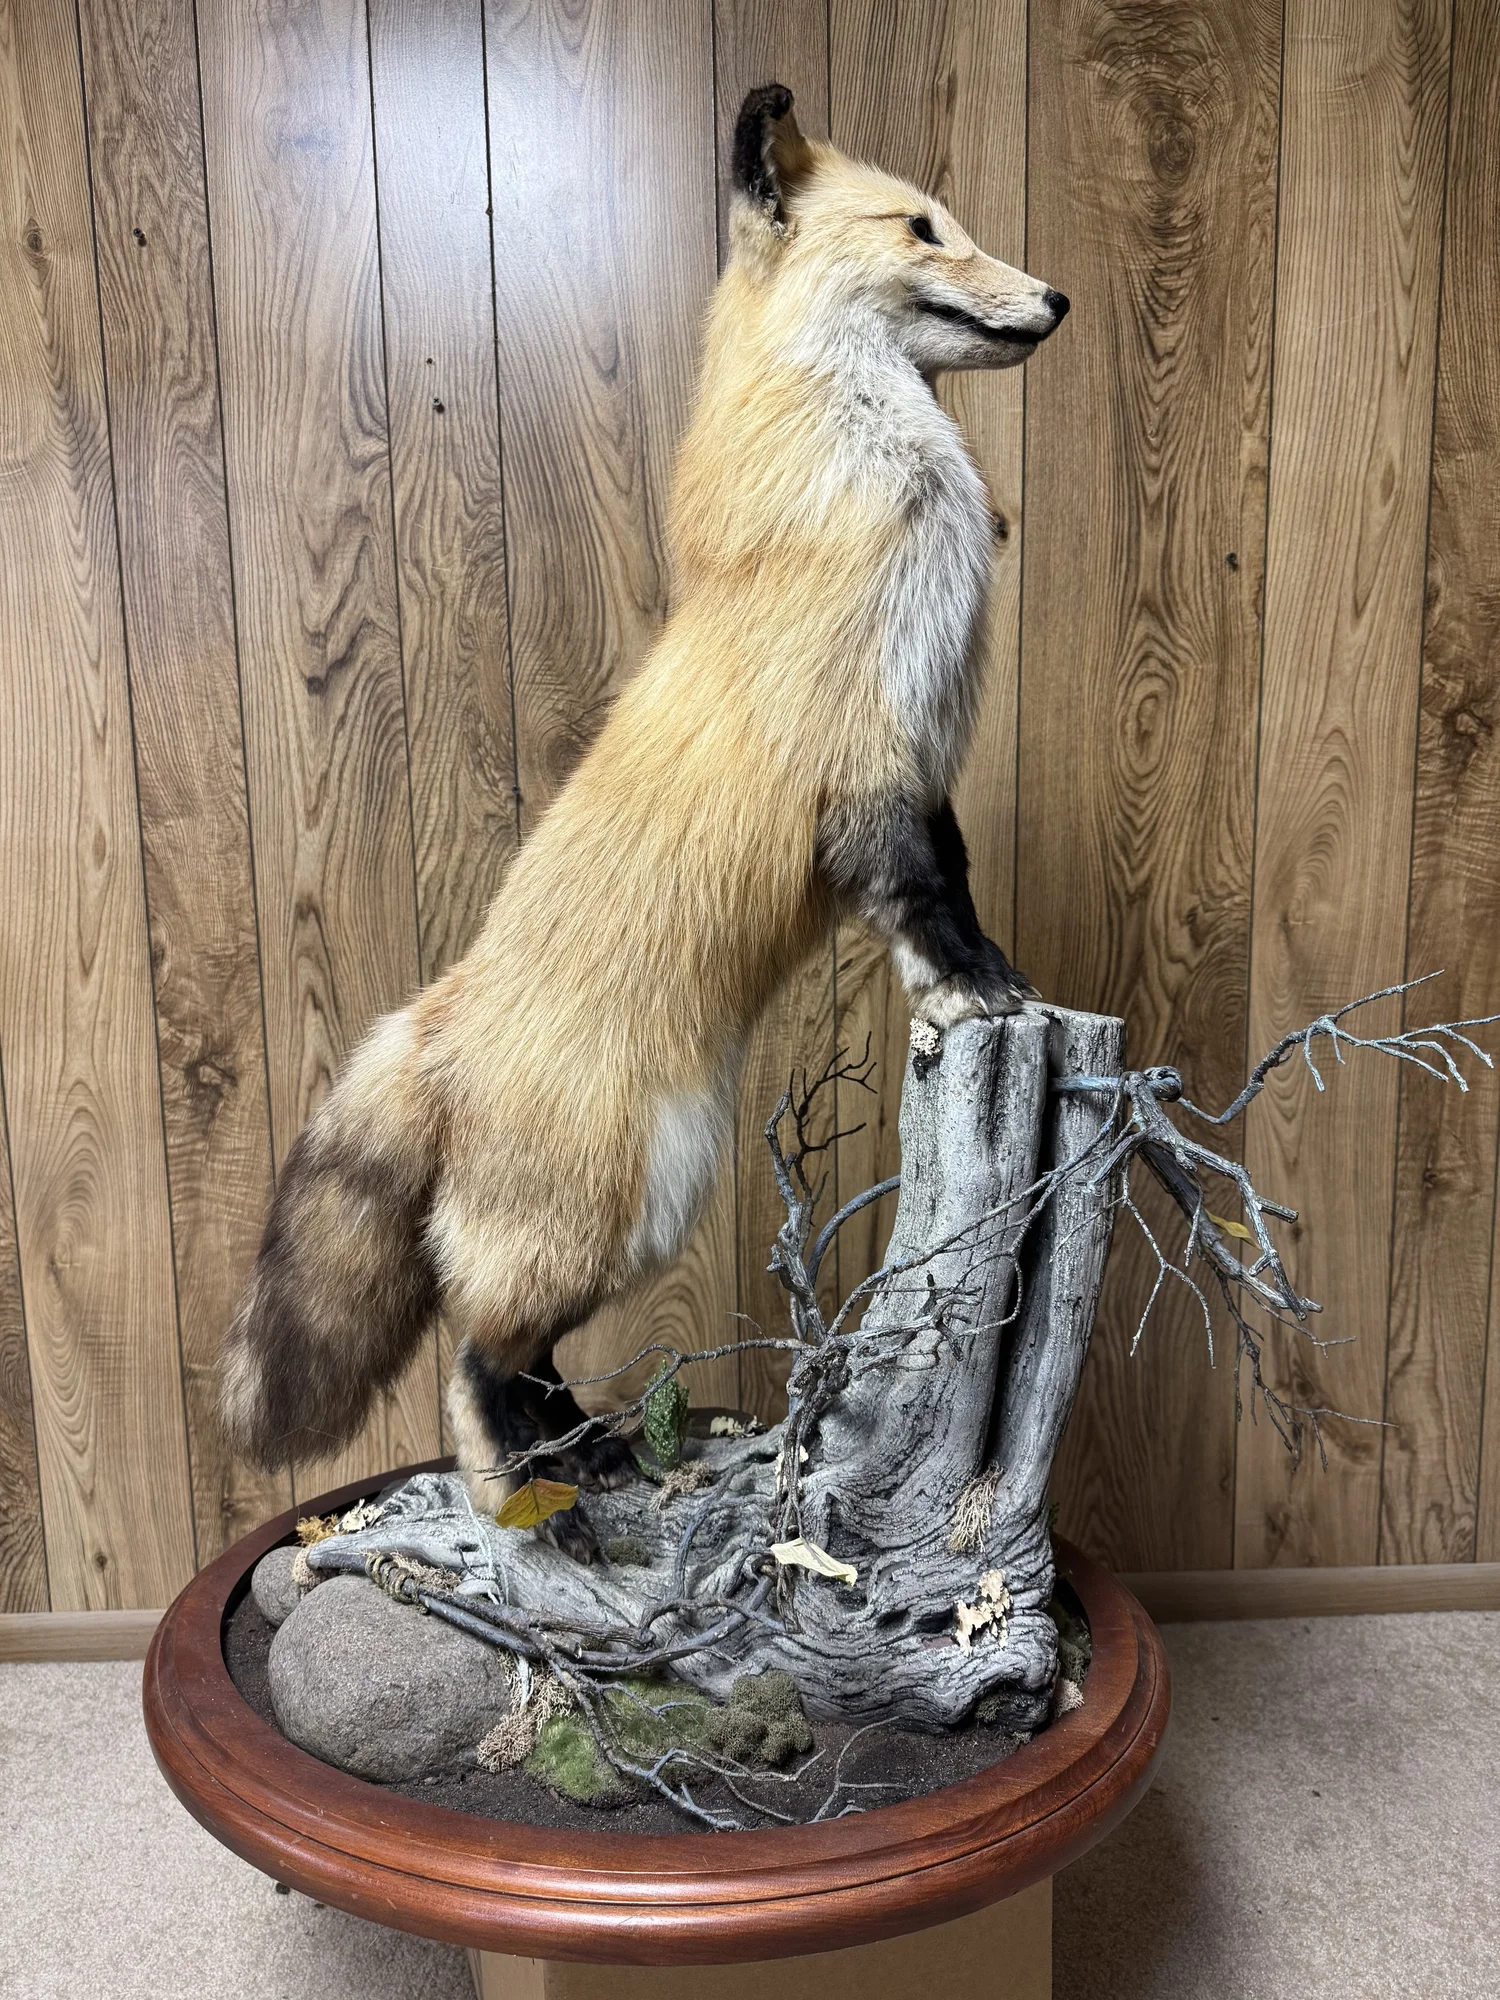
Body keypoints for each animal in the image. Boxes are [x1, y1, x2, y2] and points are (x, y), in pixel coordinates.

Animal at [219, 84, 1069, 1555]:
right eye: (924, 229)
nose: (1060, 297)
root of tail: (434, 1020)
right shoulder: (870, 771)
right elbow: (930, 903)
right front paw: (982, 992)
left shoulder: (915, 767)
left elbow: (946, 885)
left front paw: (978, 988)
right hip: (627, 1206)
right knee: (472, 1356)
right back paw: (535, 1491)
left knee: (515, 1354)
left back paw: (594, 1458)